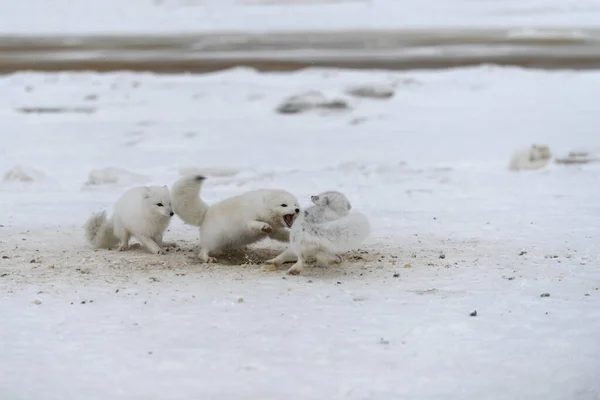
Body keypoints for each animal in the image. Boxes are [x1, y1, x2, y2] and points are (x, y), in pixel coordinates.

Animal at [169, 174, 300, 262]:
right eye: (284, 205)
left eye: (295, 205)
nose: (297, 210)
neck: (262, 206)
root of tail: (206, 212)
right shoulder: (247, 220)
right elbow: (253, 223)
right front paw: (264, 225)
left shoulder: (275, 231)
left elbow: (282, 234)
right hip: (213, 240)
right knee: (202, 252)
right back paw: (208, 258)